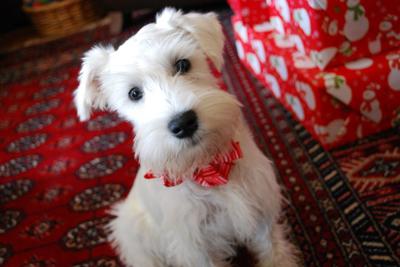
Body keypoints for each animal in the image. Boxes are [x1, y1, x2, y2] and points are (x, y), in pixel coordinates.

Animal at [73, 7, 296, 267]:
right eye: (134, 93)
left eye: (182, 64)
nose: (183, 123)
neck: (209, 167)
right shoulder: (195, 246)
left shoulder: (262, 213)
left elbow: (275, 253)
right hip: (132, 234)